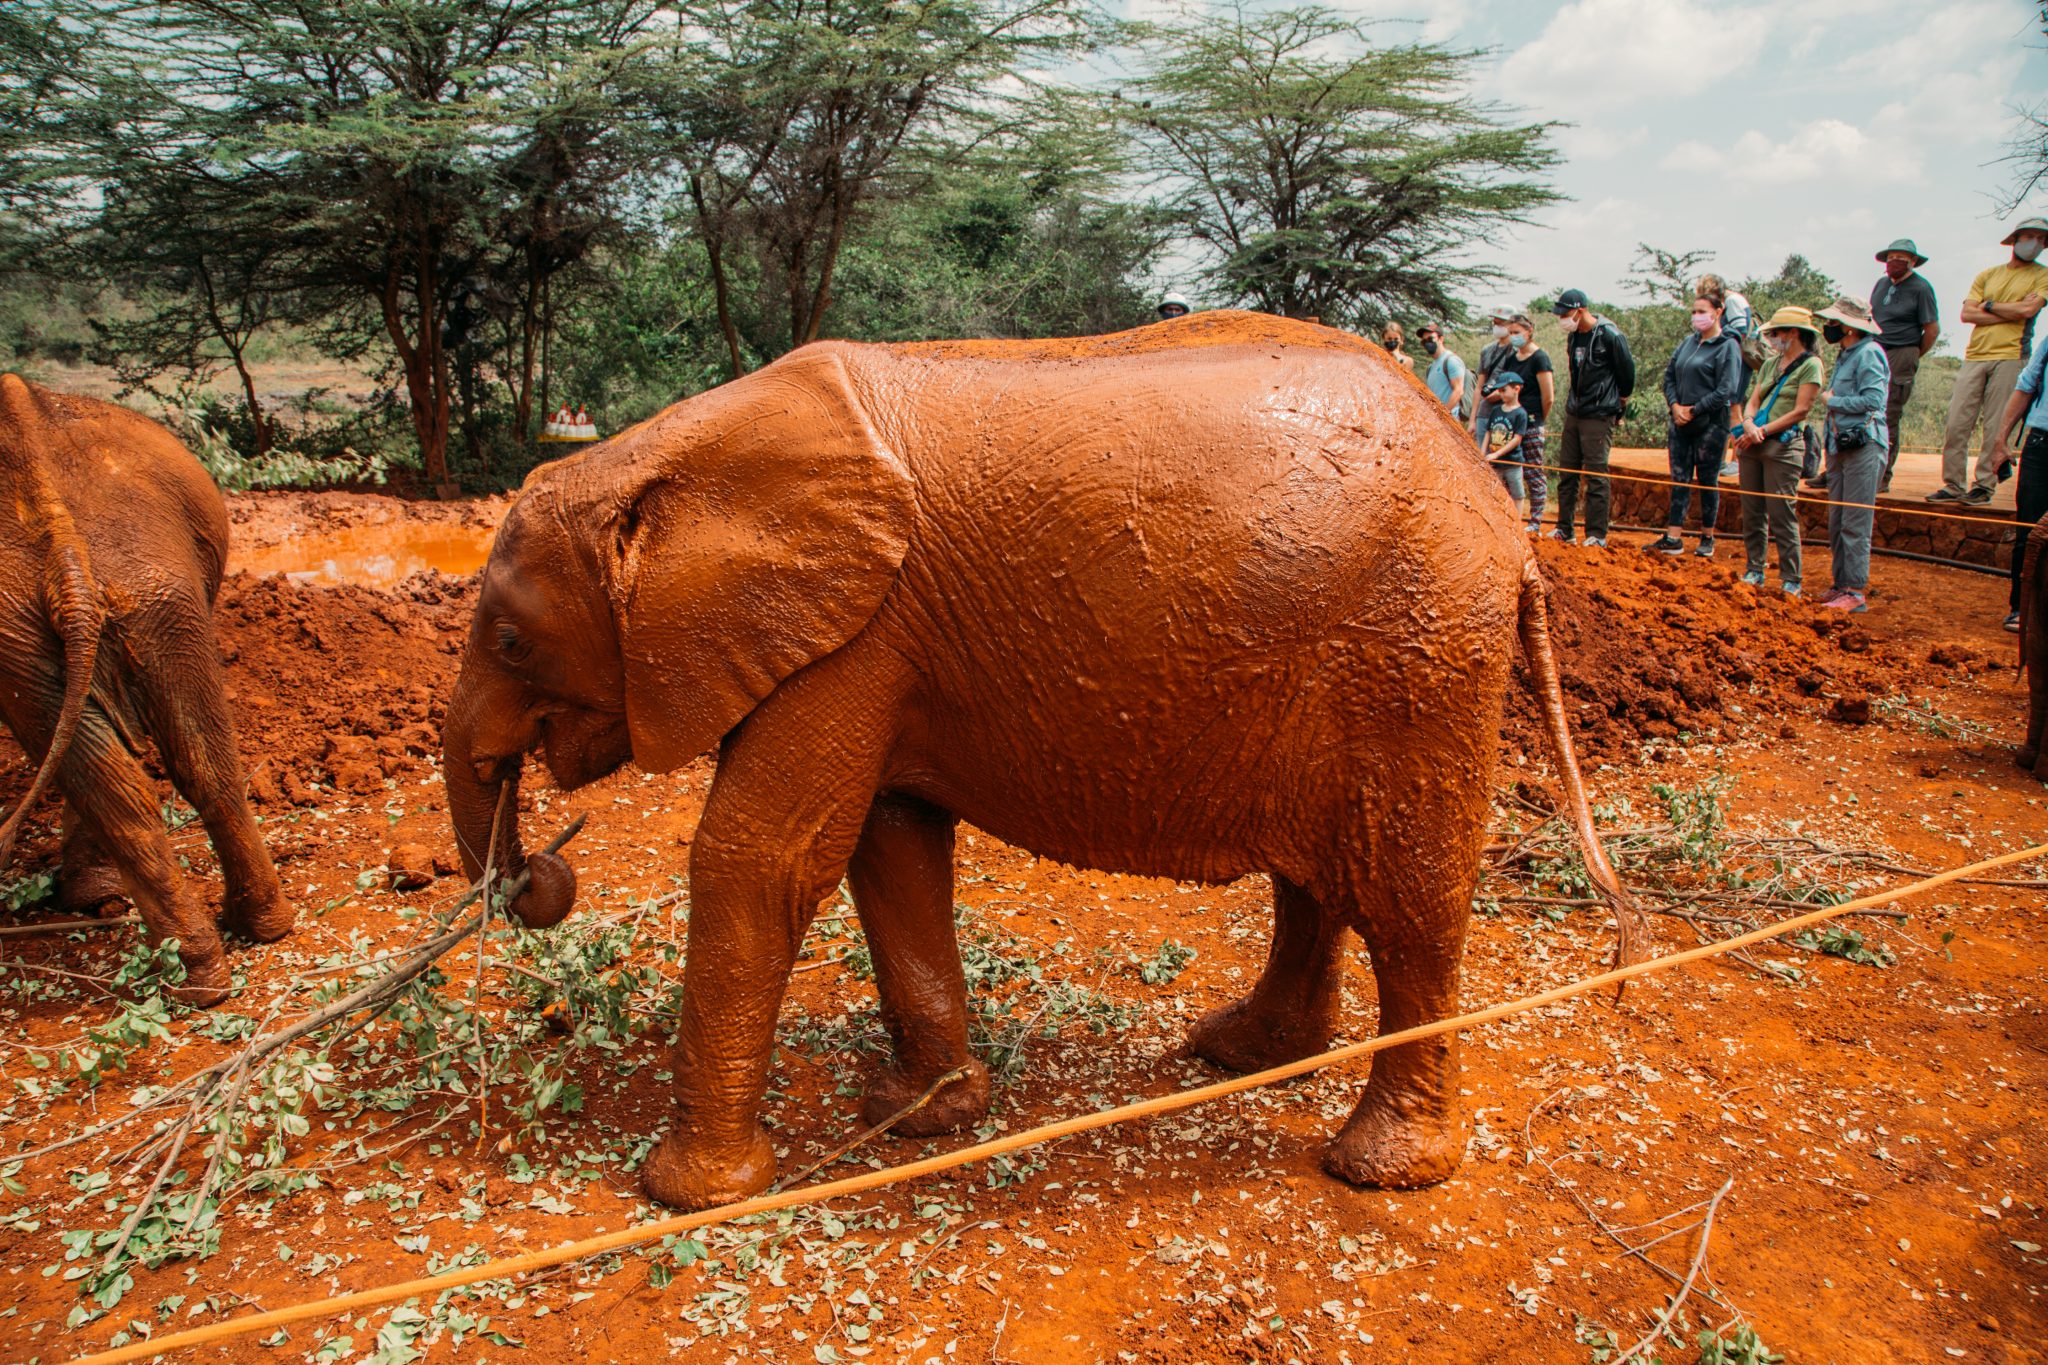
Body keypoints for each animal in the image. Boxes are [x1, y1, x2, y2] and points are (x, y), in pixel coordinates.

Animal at [0, 374, 290, 1002]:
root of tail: (65, 557)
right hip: (132, 603)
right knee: (178, 770)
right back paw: (230, 955)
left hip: (132, 597)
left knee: (151, 778)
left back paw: (203, 969)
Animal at [440, 315, 1638, 1211]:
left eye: (510, 640)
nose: (542, 873)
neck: (669, 453)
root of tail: (1505, 519)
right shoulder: (882, 645)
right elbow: (890, 850)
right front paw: (919, 1116)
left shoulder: (854, 638)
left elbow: (759, 859)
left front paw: (688, 1193)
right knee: (1317, 880)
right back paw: (1240, 1053)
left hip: (1418, 653)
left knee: (1410, 899)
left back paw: (1378, 1169)